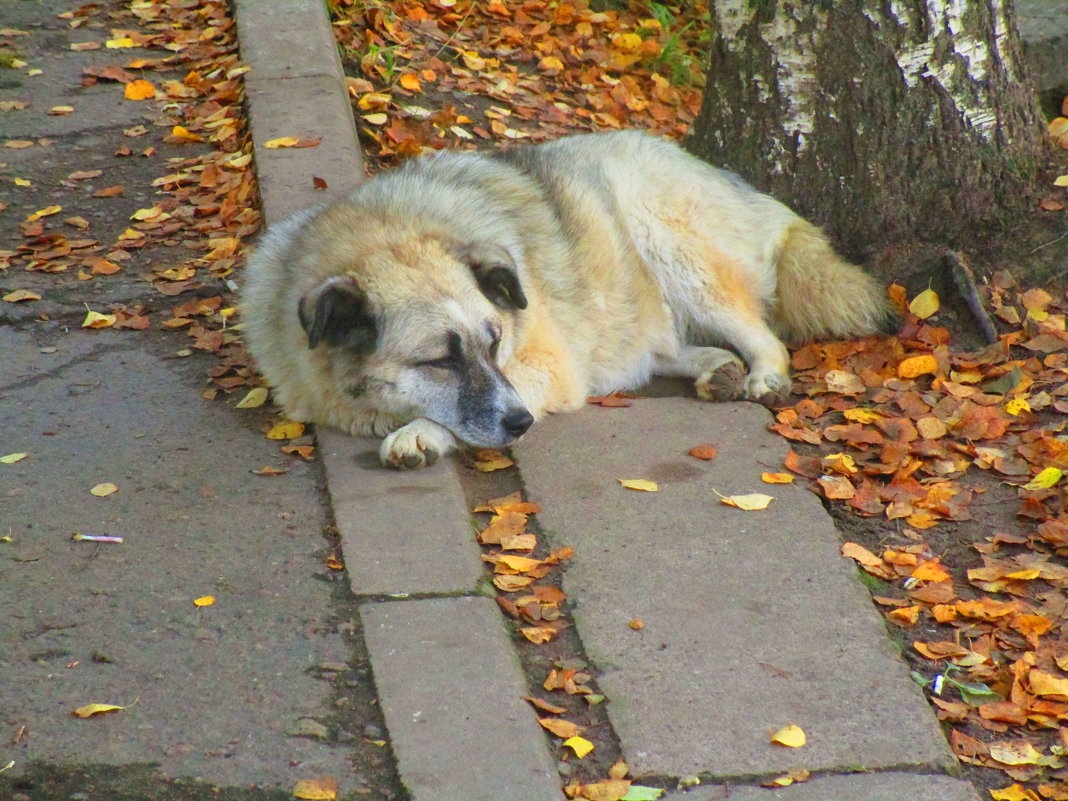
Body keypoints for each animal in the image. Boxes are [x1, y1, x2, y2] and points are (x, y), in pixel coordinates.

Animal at [240, 131, 884, 469]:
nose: (521, 421)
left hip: (668, 241)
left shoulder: (547, 366)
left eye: (494, 345)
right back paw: (715, 368)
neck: (385, 231)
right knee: (662, 346)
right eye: (440, 360)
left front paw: (421, 432)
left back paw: (762, 376)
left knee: (763, 334)